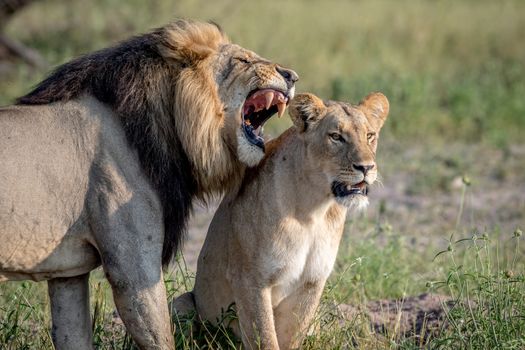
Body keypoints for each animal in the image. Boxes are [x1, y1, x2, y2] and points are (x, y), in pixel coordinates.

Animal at [0, 20, 294, 348]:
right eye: (243, 60)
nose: (292, 76)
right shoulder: (134, 270)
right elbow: (160, 337)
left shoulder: (68, 273)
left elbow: (73, 335)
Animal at [175, 91, 388, 348]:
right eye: (336, 137)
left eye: (370, 136)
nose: (366, 167)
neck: (314, 209)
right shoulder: (251, 280)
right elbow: (265, 338)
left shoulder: (311, 282)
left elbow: (291, 337)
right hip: (181, 304)